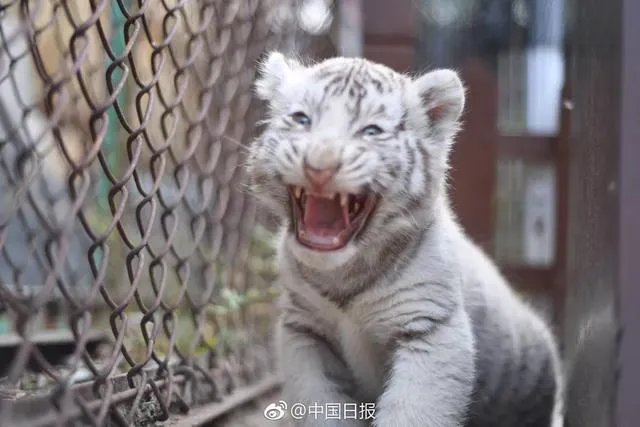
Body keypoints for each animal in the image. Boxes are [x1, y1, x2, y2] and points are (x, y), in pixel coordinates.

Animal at [246, 52, 563, 427]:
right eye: (301, 119)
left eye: (371, 131)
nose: (319, 166)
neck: (342, 275)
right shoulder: (304, 332)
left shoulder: (431, 327)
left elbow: (414, 410)